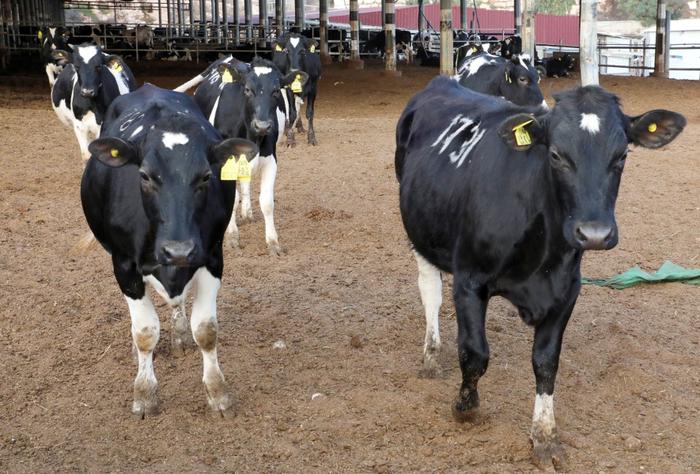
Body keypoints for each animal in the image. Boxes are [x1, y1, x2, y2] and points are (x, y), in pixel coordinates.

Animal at [81, 83, 259, 417]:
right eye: (144, 175)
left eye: (206, 176)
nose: (178, 250)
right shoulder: (124, 266)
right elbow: (144, 332)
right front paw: (144, 393)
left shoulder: (212, 257)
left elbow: (206, 330)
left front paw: (217, 392)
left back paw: (179, 333)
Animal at [395, 76, 685, 468]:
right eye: (556, 155)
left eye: (622, 156)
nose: (594, 233)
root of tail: (443, 82)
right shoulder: (469, 280)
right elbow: (474, 353)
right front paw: (466, 407)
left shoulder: (566, 290)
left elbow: (546, 363)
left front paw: (544, 436)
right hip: (419, 231)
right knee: (430, 292)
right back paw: (430, 356)